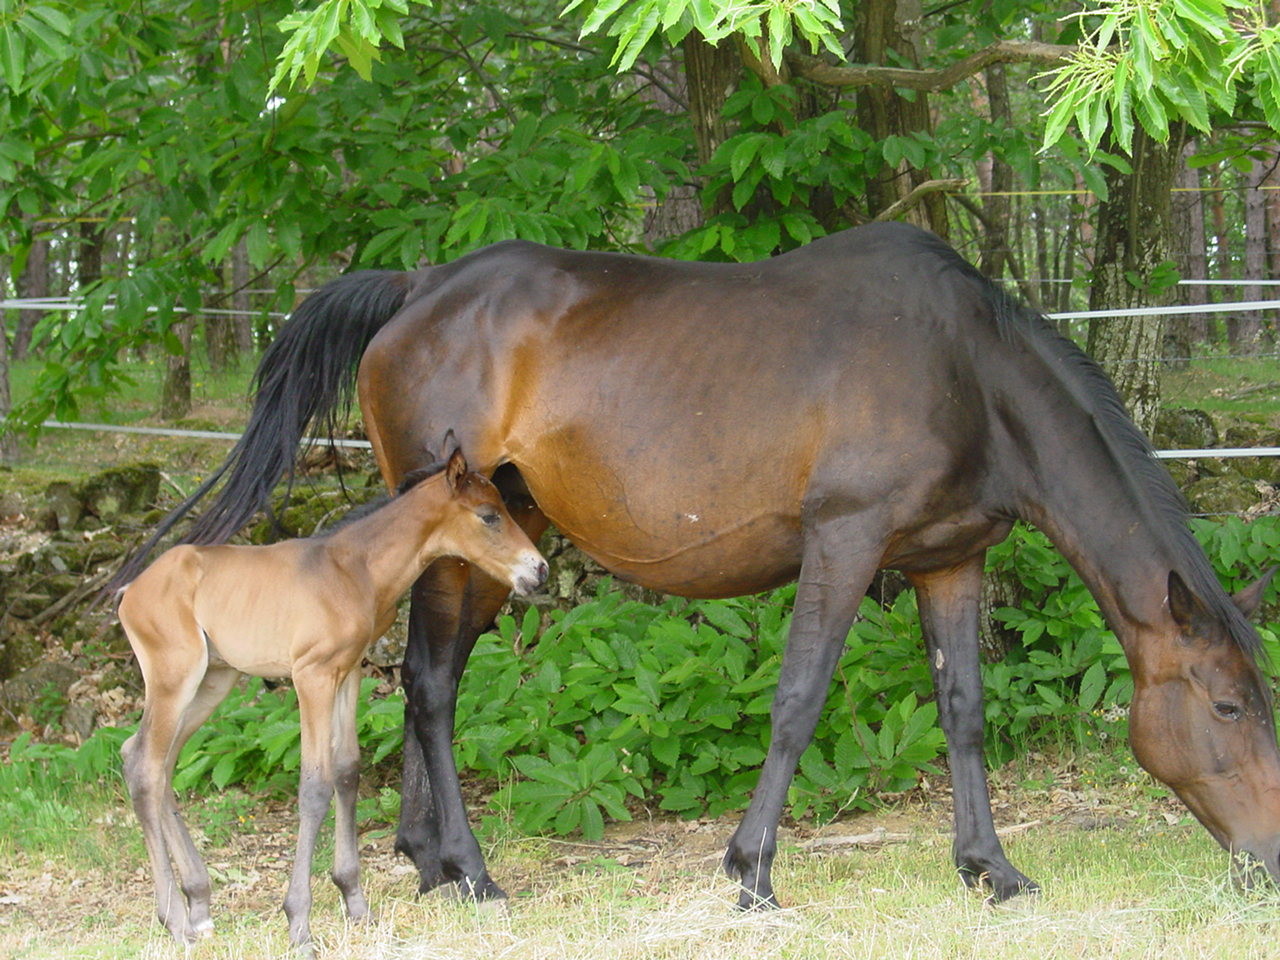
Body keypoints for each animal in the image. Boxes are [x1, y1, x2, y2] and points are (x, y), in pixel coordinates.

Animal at [113, 448, 545, 952]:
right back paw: (175, 920)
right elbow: (315, 785)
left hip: (211, 682)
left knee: (150, 761)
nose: (539, 570)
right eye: (489, 515)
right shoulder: (312, 676)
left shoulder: (348, 671)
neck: (352, 567)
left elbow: (346, 772)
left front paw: (355, 904)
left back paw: (198, 906)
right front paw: (299, 924)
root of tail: (131, 591)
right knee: (145, 767)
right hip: (174, 678)